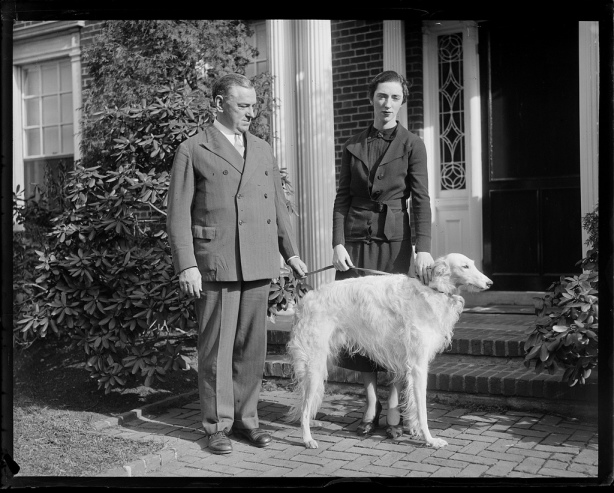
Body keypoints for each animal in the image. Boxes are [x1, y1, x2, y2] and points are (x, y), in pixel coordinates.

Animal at [288, 252, 496, 448]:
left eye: (473, 264)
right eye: (465, 266)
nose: (490, 283)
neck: (433, 290)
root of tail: (307, 299)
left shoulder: (409, 365)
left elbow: (412, 403)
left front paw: (414, 430)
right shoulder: (418, 366)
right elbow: (422, 410)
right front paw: (430, 439)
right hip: (314, 365)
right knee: (305, 408)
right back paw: (307, 438)